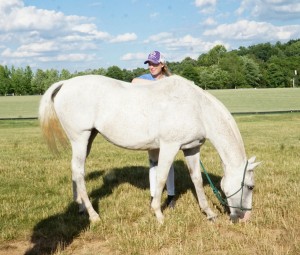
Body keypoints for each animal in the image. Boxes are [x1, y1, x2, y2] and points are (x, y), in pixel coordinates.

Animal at [38, 73, 260, 223]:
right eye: (250, 186)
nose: (246, 217)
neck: (197, 108)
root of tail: (65, 83)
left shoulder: (191, 149)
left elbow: (196, 179)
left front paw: (209, 213)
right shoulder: (169, 147)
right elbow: (161, 177)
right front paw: (159, 214)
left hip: (88, 139)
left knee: (76, 172)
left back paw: (80, 208)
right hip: (80, 138)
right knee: (79, 172)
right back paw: (93, 216)